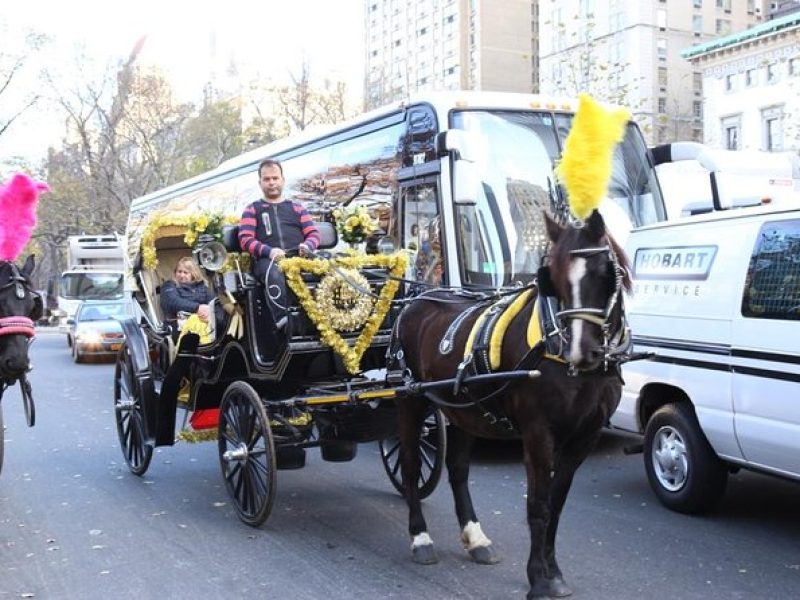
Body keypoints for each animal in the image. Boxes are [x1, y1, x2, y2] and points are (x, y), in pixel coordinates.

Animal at [394, 211, 632, 600]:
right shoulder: (538, 434)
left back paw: (475, 537)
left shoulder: (584, 437)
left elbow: (557, 503)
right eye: (553, 277)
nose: (581, 351)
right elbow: (538, 505)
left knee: (458, 470)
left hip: (465, 410)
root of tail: (417, 298)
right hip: (411, 401)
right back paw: (420, 537)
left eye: (603, 273)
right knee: (412, 466)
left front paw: (553, 572)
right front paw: (538, 579)